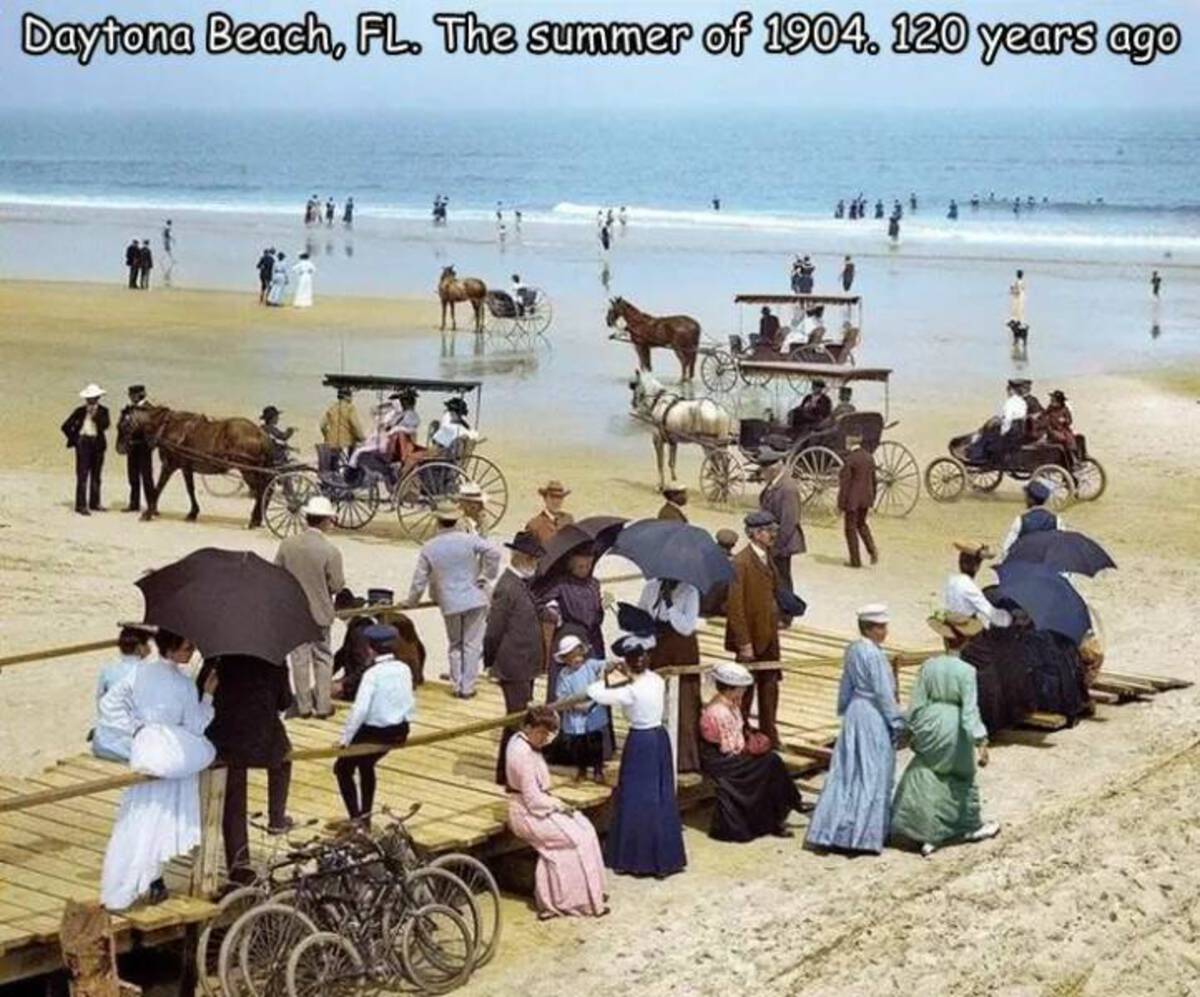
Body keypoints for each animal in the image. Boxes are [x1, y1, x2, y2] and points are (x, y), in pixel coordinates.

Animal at [117, 405, 274, 530]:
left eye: (123, 425)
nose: (119, 449)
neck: (167, 427)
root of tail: (260, 433)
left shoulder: (169, 465)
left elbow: (158, 487)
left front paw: (148, 513)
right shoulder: (186, 467)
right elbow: (190, 489)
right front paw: (193, 513)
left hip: (247, 470)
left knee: (261, 491)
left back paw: (253, 521)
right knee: (265, 490)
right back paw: (257, 519)